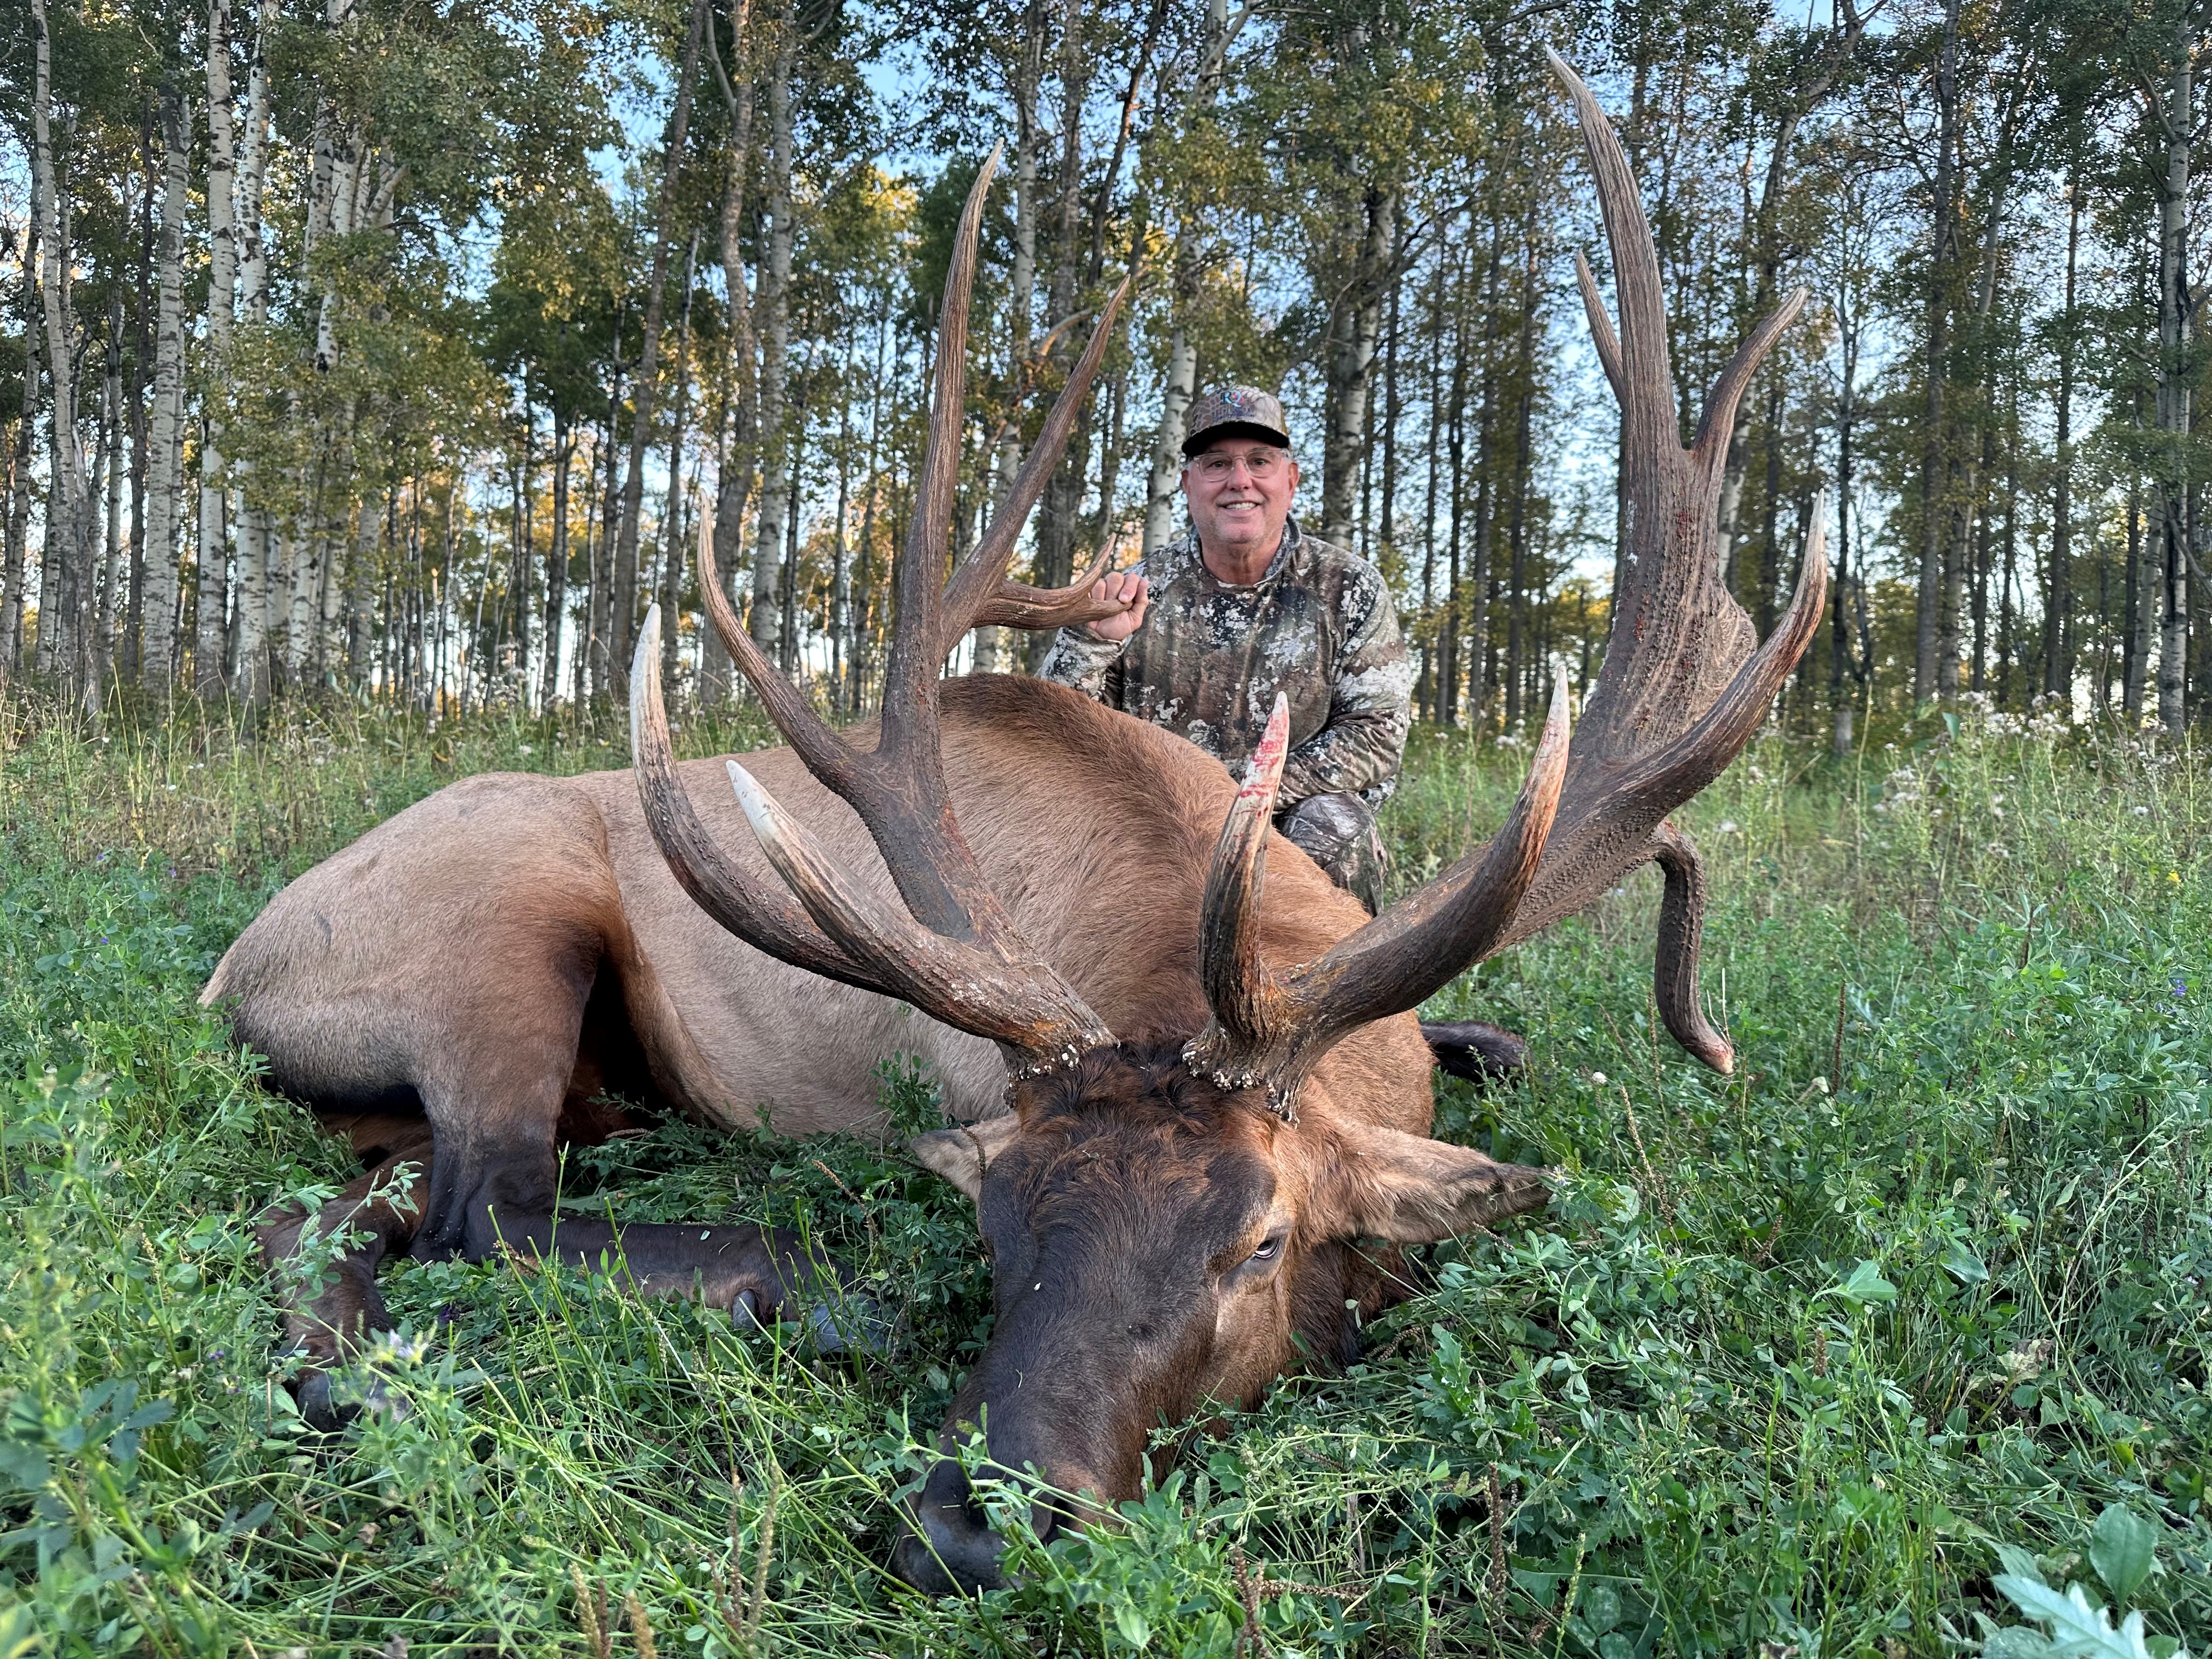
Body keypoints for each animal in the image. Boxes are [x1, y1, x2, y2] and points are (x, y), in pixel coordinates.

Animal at [209, 55, 1823, 1594]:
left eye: (1262, 1239)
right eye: (999, 1220)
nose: (974, 1525)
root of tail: (233, 972)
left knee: (336, 1210)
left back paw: (352, 1378)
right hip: (503, 928)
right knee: (490, 1207)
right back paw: (793, 1290)